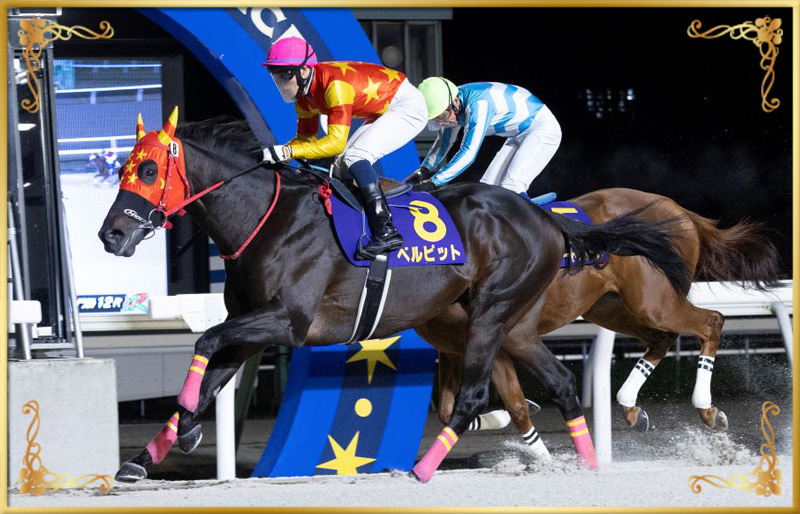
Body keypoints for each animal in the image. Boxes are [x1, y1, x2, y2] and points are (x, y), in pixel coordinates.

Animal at [98, 110, 691, 483]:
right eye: (121, 167)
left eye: (147, 169)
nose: (111, 234)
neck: (267, 220)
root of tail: (546, 218)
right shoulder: (254, 327)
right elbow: (209, 373)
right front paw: (151, 453)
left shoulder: (288, 321)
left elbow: (204, 341)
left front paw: (183, 435)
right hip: (515, 325)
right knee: (563, 385)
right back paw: (586, 465)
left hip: (491, 314)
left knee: (474, 397)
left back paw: (423, 469)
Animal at [420, 188, 781, 455]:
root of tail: (677, 208)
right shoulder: (454, 347)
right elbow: (448, 409)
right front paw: (501, 417)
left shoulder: (492, 337)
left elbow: (513, 404)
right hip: (607, 306)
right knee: (661, 338)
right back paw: (630, 405)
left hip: (654, 302)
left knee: (711, 322)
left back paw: (707, 408)